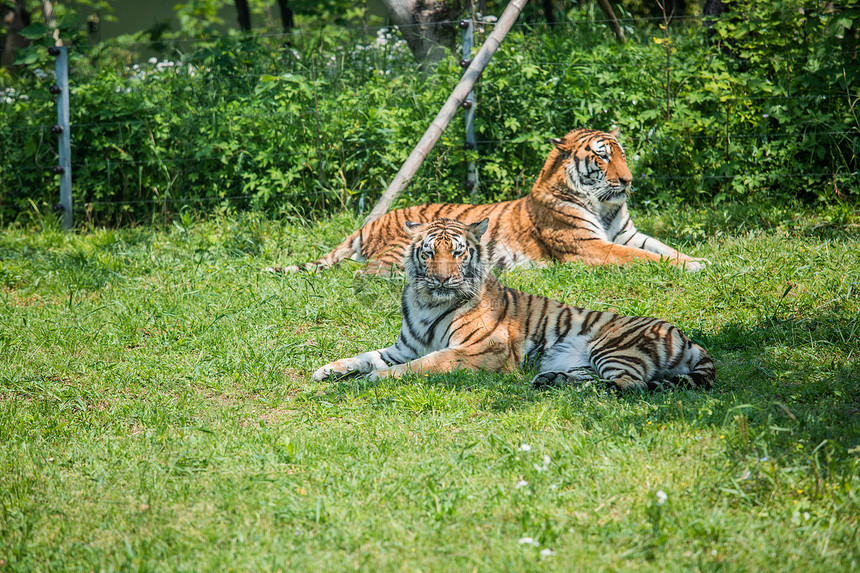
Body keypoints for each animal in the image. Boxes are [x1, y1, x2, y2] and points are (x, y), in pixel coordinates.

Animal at [268, 127, 704, 274]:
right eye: (601, 157)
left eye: (622, 154)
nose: (628, 181)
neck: (604, 204)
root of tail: (371, 222)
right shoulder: (591, 247)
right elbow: (644, 258)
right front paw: (693, 266)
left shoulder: (627, 234)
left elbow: (662, 248)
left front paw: (699, 260)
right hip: (395, 254)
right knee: (362, 272)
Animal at [312, 217, 716, 392]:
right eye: (428, 252)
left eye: (457, 252)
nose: (442, 279)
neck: (426, 302)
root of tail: (688, 337)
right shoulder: (403, 347)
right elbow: (364, 355)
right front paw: (327, 370)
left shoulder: (480, 349)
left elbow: (425, 364)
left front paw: (376, 379)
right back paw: (550, 380)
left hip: (613, 347)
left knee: (628, 386)